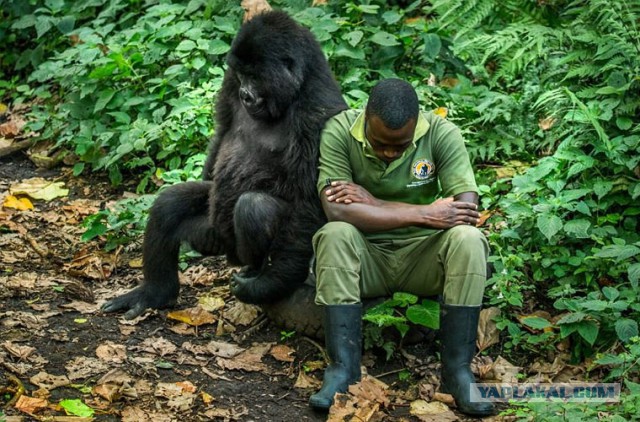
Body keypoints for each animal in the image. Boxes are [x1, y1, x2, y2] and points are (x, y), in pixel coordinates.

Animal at [102, 10, 348, 320]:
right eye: (242, 75)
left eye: (255, 76)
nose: (245, 94)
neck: (296, 86)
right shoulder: (230, 81)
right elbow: (221, 131)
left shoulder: (318, 112)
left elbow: (306, 202)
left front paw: (268, 285)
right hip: (214, 232)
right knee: (171, 203)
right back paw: (155, 292)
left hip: (237, 253)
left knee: (254, 207)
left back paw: (256, 272)